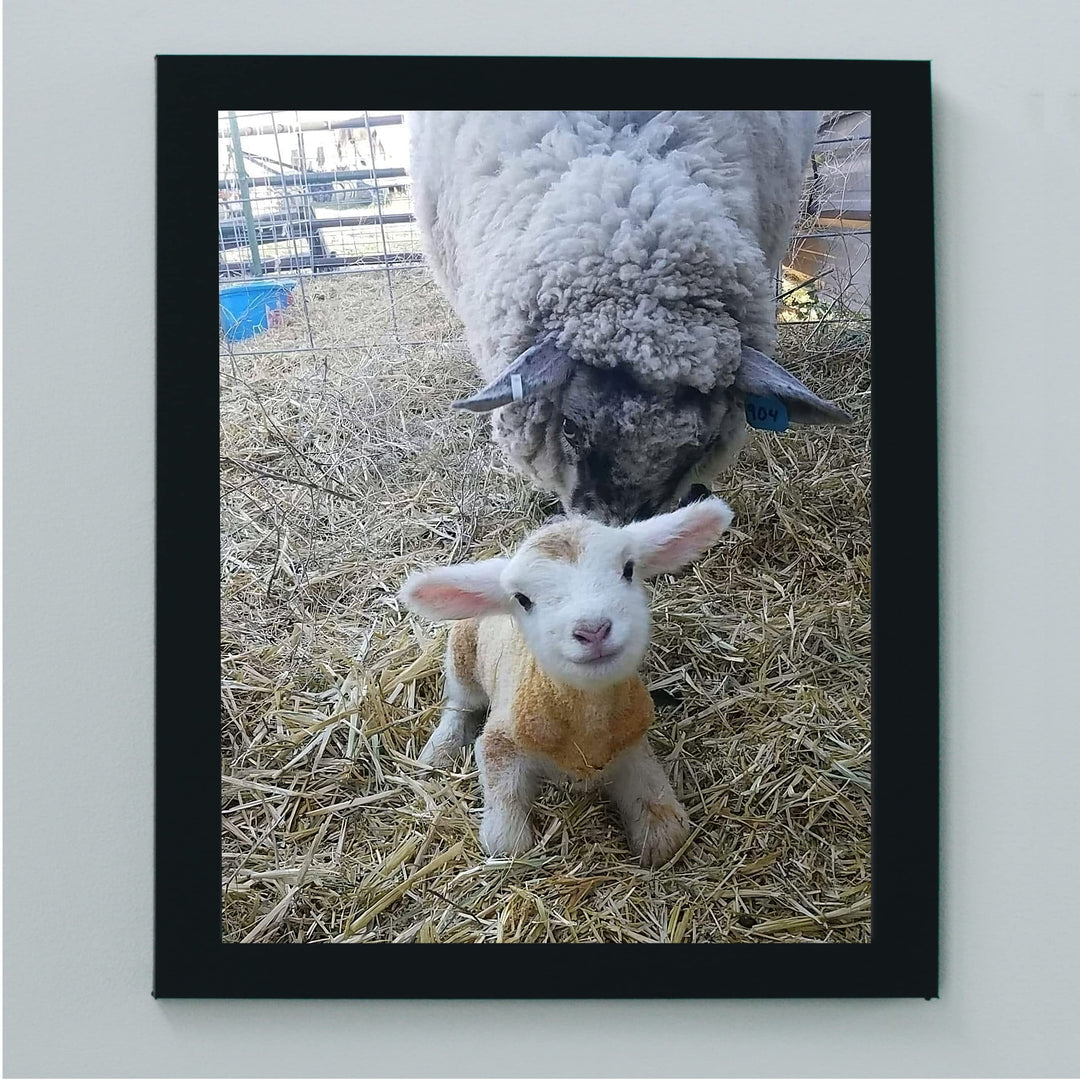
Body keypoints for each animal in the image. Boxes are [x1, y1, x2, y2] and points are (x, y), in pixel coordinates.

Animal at [398, 496, 734, 867]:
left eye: (628, 569)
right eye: (522, 599)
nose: (593, 630)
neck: (587, 725)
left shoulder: (631, 742)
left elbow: (664, 823)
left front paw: (656, 833)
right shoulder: (501, 741)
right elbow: (506, 841)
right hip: (462, 654)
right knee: (459, 704)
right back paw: (439, 750)